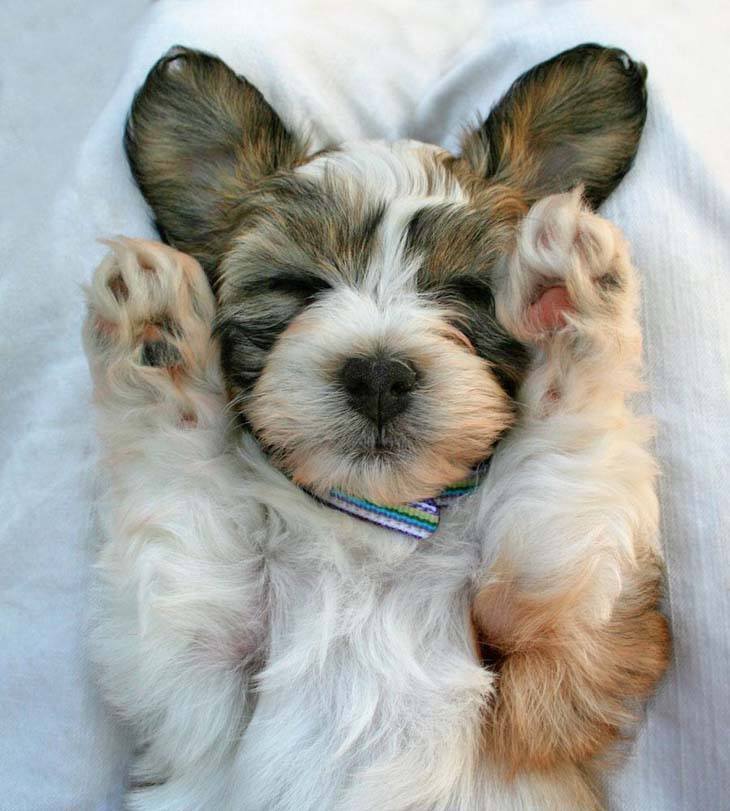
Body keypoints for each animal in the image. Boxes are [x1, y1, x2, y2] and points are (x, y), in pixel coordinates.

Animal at [82, 44, 668, 811]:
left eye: (471, 292)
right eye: (297, 285)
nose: (379, 375)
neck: (374, 529)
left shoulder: (558, 660)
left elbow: (563, 474)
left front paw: (565, 291)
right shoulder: (196, 682)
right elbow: (180, 497)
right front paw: (156, 334)